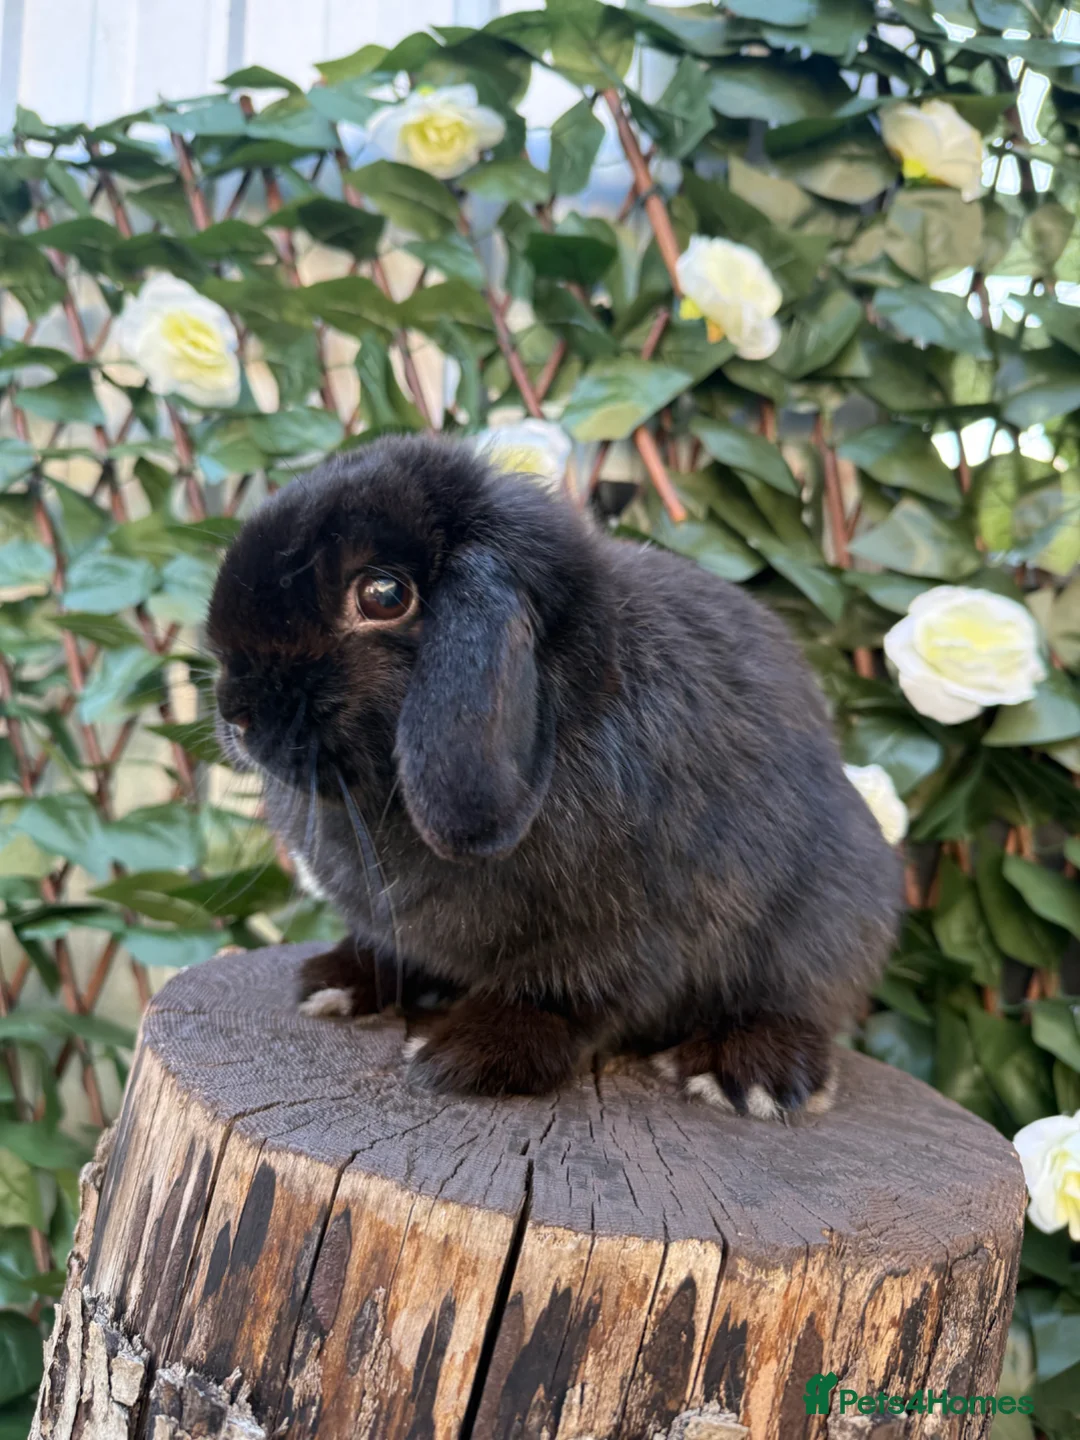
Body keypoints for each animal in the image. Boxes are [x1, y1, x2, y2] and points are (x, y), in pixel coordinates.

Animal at [207, 434, 903, 1115]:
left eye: (383, 594)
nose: (236, 712)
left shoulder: (622, 929)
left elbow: (561, 994)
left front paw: (467, 1055)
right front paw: (336, 982)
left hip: (826, 920)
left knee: (797, 1000)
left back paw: (745, 1071)